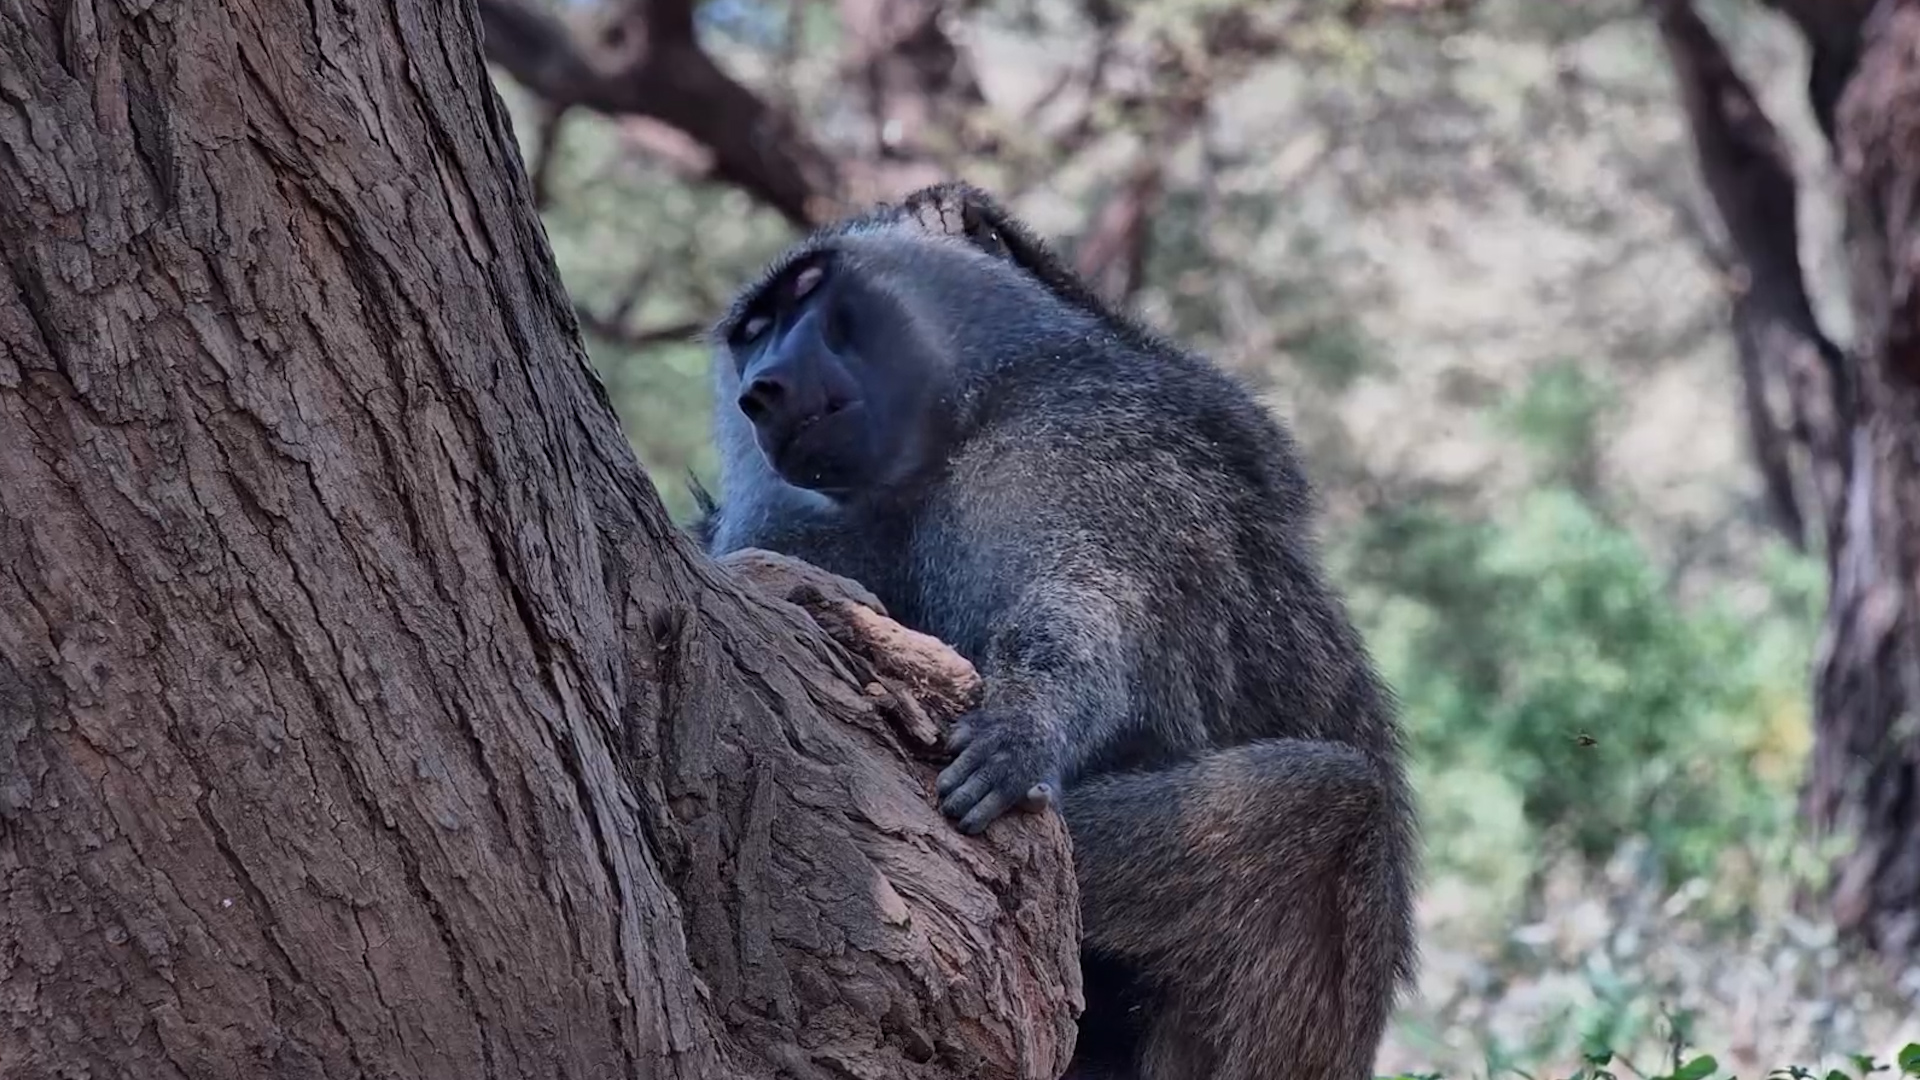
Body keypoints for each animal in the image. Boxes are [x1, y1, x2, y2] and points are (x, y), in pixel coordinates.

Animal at [695, 182, 1418, 1080]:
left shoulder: (1070, 441)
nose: (764, 388)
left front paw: (1024, 722)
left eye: (808, 292)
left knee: (1336, 806)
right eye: (750, 334)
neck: (943, 443)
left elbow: (1090, 594)